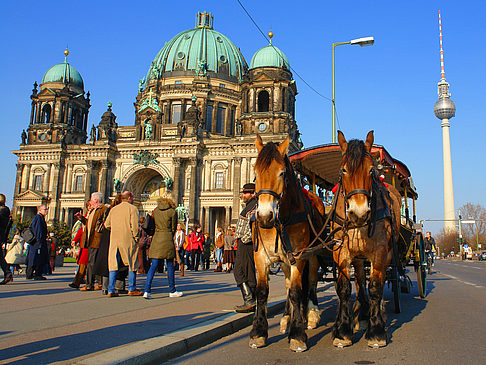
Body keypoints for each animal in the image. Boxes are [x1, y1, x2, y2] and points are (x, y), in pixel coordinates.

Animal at [251, 135, 322, 352]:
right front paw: (258, 332)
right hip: (283, 261)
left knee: (310, 282)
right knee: (288, 284)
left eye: (282, 173)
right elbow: (262, 292)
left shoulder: (299, 256)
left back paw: (312, 314)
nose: (264, 216)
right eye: (255, 173)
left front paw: (297, 334)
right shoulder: (261, 257)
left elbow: (298, 291)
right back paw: (285, 318)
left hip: (313, 256)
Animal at [332, 131, 400, 346]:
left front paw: (377, 330)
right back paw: (361, 313)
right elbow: (344, 287)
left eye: (371, 171)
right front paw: (342, 330)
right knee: (361, 280)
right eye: (344, 170)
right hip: (359, 257)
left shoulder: (380, 252)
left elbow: (376, 288)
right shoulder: (341, 251)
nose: (359, 212)